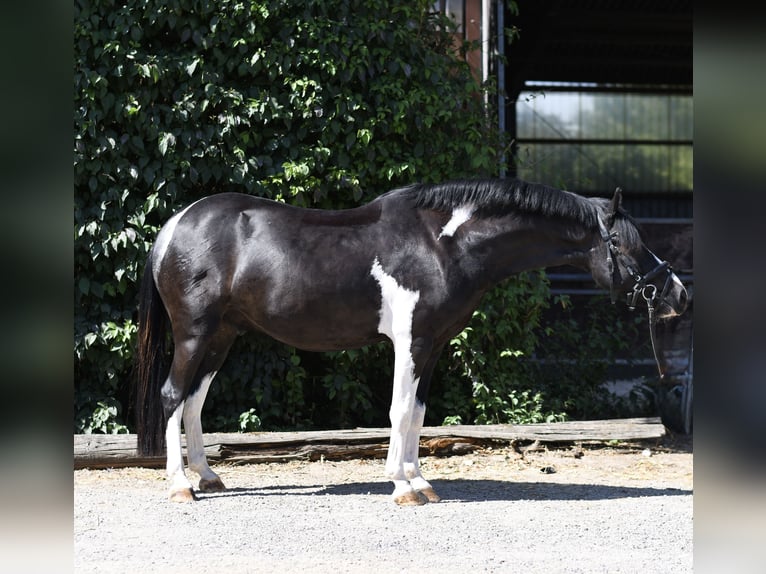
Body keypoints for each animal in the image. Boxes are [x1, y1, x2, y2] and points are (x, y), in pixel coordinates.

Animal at [134, 177, 687, 505]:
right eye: (623, 245)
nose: (677, 294)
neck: (443, 244)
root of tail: (173, 226)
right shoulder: (412, 341)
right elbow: (400, 410)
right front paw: (402, 488)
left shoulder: (435, 343)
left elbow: (419, 412)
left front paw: (420, 480)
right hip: (194, 332)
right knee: (171, 396)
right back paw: (181, 486)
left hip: (222, 335)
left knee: (194, 401)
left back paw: (207, 477)